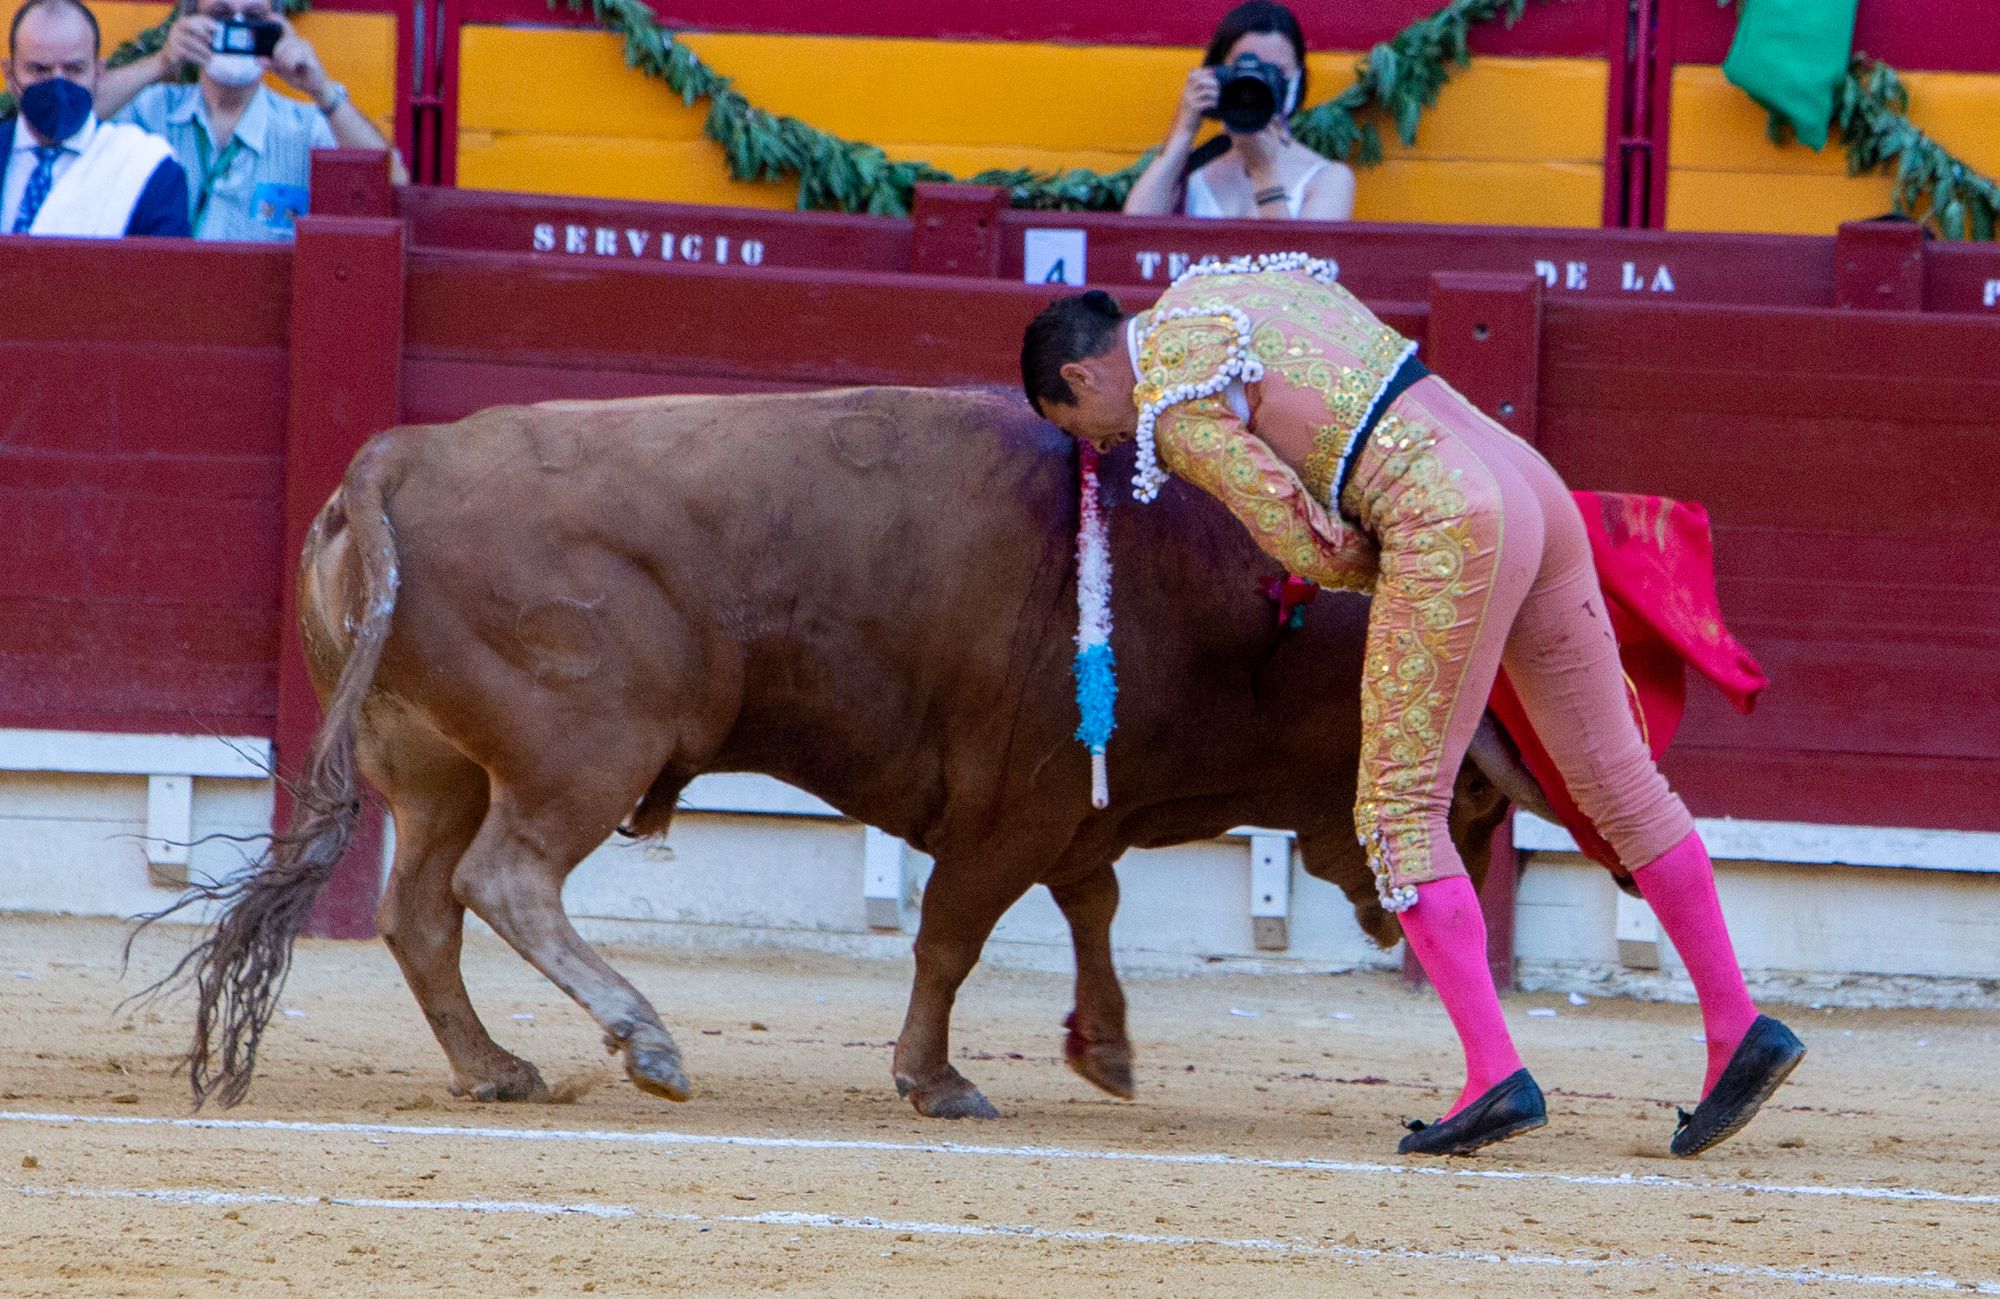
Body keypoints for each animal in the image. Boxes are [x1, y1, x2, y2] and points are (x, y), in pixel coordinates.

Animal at [152, 383, 1528, 1111]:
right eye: (1473, 803)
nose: (1412, 910)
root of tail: (399, 456)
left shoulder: (1070, 808)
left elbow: (1089, 909)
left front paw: (1106, 1050)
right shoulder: (1015, 810)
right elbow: (955, 938)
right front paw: (938, 1080)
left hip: (434, 767)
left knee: (420, 911)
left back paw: (495, 1067)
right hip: (582, 753)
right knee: (506, 881)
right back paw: (645, 1040)